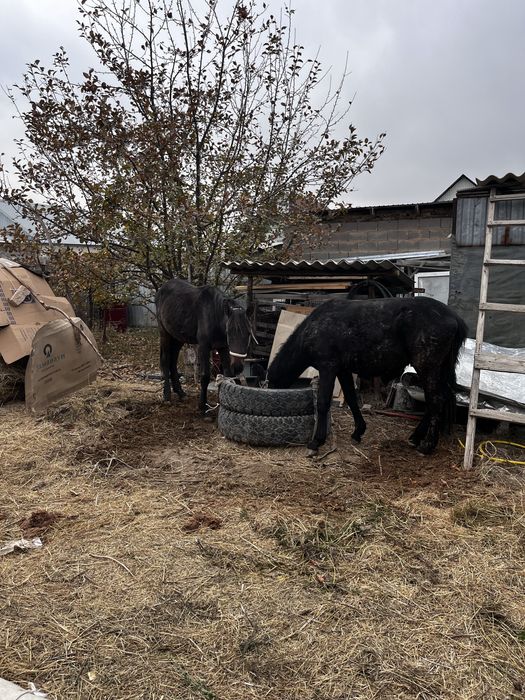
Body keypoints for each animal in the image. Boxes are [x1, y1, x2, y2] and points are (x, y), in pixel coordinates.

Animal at [155, 279, 252, 414]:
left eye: (249, 333)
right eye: (229, 332)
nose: (238, 367)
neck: (215, 315)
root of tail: (162, 288)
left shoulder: (223, 348)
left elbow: (227, 374)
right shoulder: (204, 347)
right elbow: (205, 376)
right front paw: (202, 406)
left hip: (178, 338)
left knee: (173, 362)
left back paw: (180, 393)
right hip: (164, 333)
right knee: (165, 360)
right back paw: (167, 396)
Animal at [267, 297, 468, 456]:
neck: (313, 328)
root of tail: (454, 317)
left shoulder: (328, 368)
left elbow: (323, 403)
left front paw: (317, 441)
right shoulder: (343, 370)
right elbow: (351, 398)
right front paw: (358, 431)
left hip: (428, 368)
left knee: (436, 401)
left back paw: (427, 445)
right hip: (440, 370)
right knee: (440, 399)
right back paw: (415, 437)